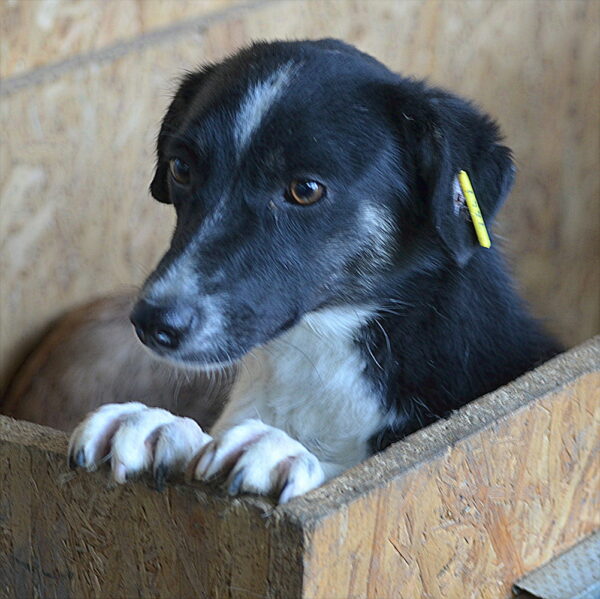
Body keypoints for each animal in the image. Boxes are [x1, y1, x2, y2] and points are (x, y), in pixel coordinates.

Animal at [68, 39, 560, 504]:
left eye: (305, 190)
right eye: (181, 167)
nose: (153, 323)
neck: (319, 348)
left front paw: (284, 453)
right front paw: (161, 426)